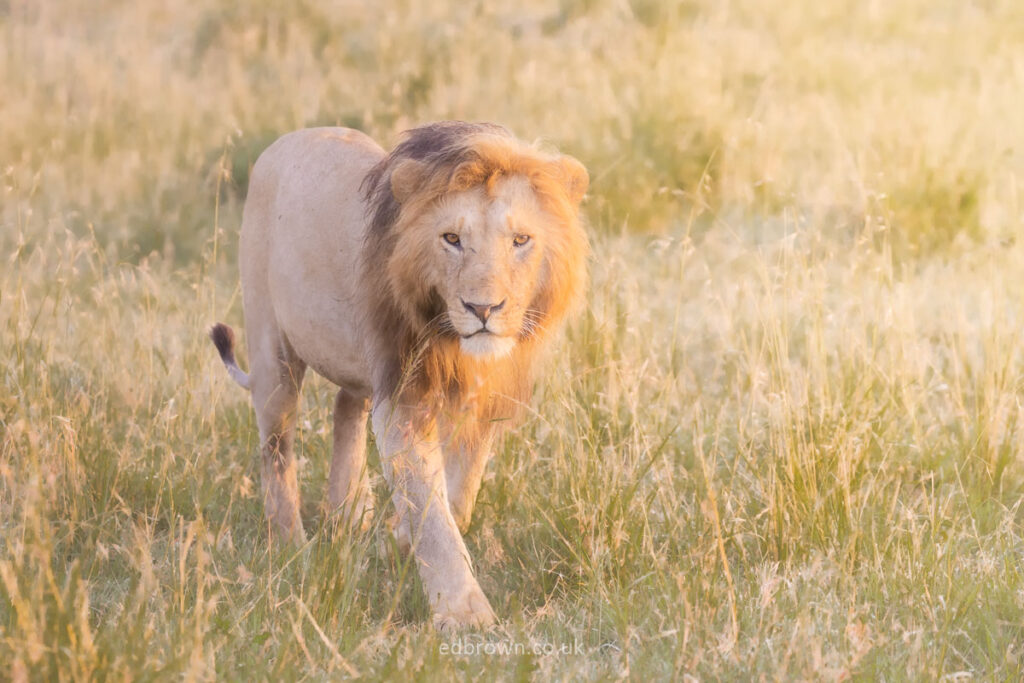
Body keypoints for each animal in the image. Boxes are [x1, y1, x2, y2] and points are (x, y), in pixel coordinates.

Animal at [209, 122, 588, 630]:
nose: (482, 309)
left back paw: (348, 513)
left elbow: (458, 496)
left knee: (346, 406)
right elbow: (432, 511)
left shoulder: (480, 401)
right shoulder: (403, 399)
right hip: (273, 355)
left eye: (521, 240)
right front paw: (464, 616)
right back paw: (291, 546)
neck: (456, 346)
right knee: (276, 450)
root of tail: (287, 139)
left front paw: (397, 541)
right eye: (451, 238)